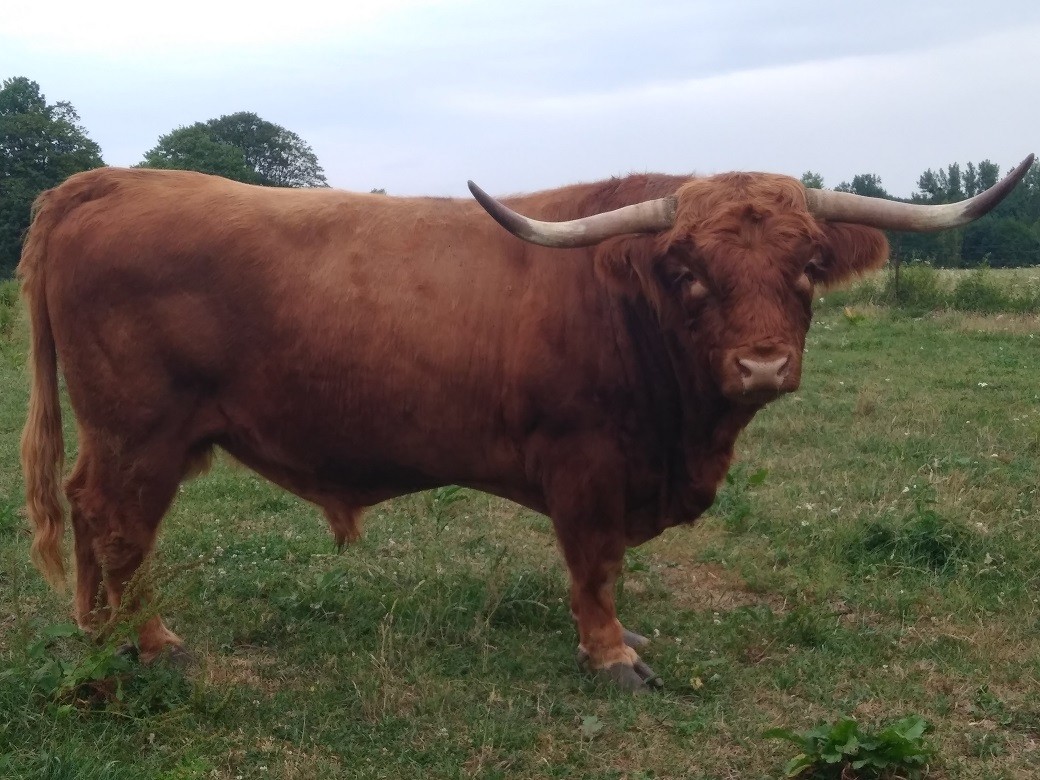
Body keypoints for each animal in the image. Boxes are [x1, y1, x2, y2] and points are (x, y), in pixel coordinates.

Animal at [19, 155, 1033, 691]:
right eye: (689, 270)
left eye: (810, 263)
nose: (761, 365)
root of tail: (108, 181)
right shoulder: (585, 467)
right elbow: (595, 567)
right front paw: (611, 653)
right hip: (142, 434)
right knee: (118, 527)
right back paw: (151, 643)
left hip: (127, 438)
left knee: (86, 510)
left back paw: (98, 635)